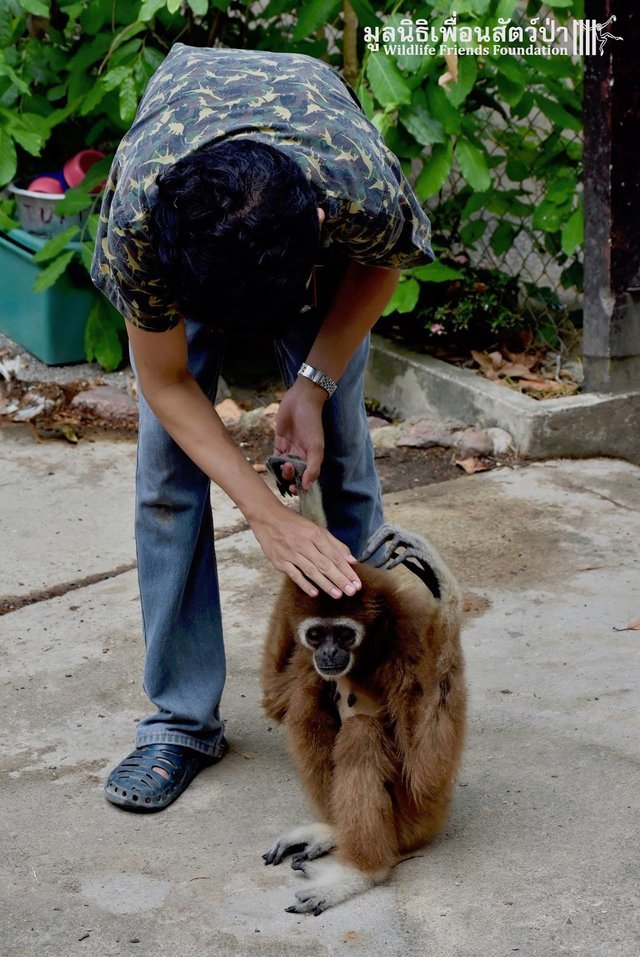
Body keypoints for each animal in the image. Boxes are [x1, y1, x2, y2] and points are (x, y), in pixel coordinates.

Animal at [261, 455, 466, 915]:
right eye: (316, 634)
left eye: (343, 634)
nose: (328, 653)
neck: (368, 656)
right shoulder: (307, 657)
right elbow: (276, 697)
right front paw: (305, 491)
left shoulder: (407, 649)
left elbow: (426, 773)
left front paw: (442, 586)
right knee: (306, 697)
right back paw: (333, 832)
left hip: (413, 822)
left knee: (362, 734)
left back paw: (361, 872)